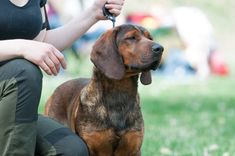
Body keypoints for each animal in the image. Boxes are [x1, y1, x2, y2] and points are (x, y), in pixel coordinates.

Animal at [44, 24, 163, 156]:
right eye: (131, 38)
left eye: (150, 38)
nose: (160, 48)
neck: (119, 94)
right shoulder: (92, 147)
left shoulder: (134, 148)